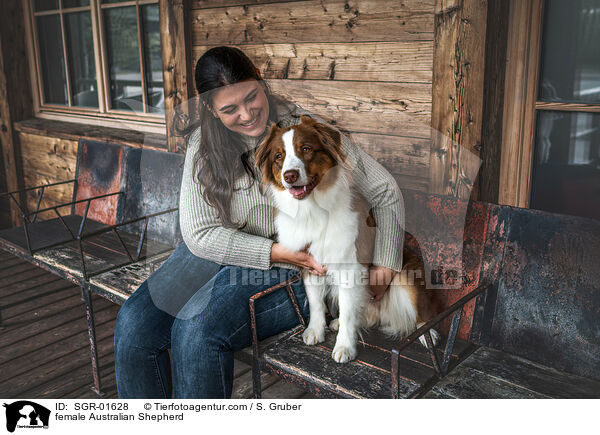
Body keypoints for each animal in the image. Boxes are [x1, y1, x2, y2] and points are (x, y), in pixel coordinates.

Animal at [253, 116, 440, 364]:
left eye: (306, 149)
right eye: (278, 156)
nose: (289, 175)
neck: (312, 209)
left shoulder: (350, 268)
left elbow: (349, 312)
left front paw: (344, 347)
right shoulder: (309, 264)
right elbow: (316, 302)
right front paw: (315, 330)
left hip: (405, 276)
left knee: (421, 313)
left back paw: (428, 333)